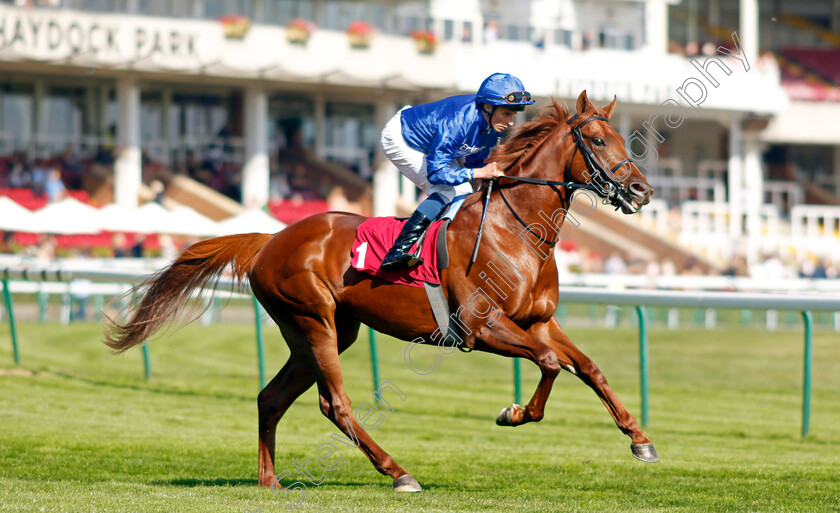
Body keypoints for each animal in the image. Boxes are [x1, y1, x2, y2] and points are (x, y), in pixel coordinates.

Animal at [103, 91, 656, 492]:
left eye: (621, 138)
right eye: (596, 140)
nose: (642, 191)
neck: (517, 229)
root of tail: (270, 240)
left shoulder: (539, 321)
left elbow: (587, 367)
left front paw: (640, 439)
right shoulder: (481, 328)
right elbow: (548, 363)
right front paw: (514, 413)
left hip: (323, 331)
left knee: (270, 397)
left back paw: (270, 481)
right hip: (313, 321)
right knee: (336, 405)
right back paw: (399, 473)